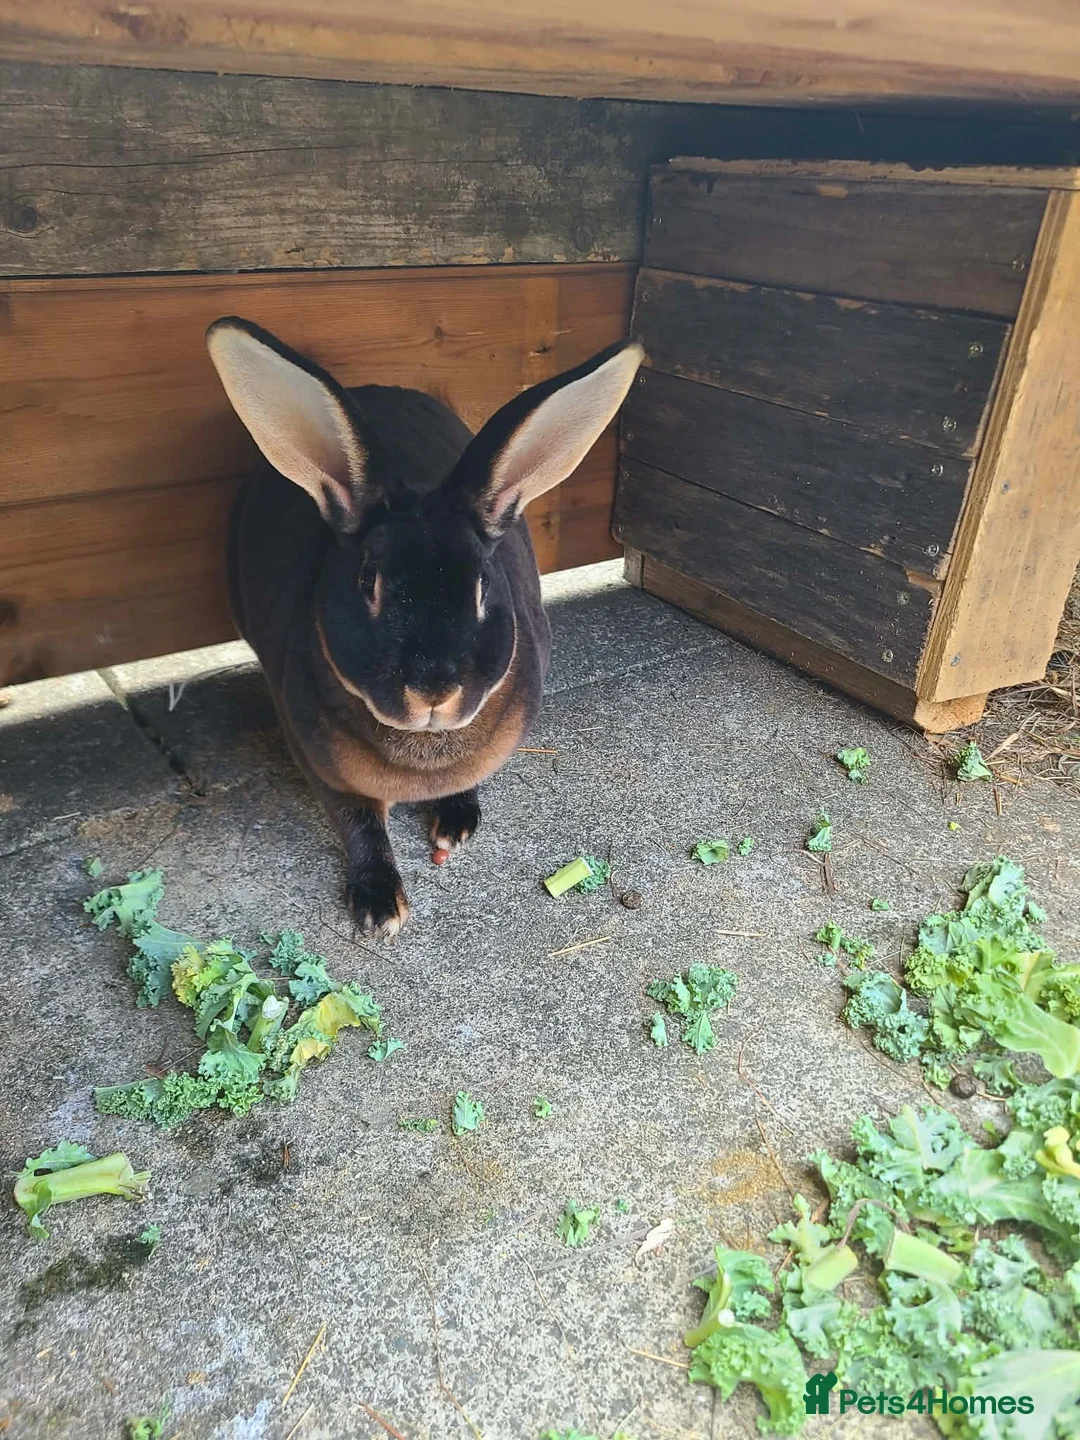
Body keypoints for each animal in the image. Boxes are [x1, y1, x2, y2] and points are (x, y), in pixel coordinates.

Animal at [206, 317, 643, 938]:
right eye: (369, 582)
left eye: (483, 587)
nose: (434, 687)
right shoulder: (324, 771)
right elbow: (360, 826)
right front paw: (379, 908)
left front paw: (455, 826)